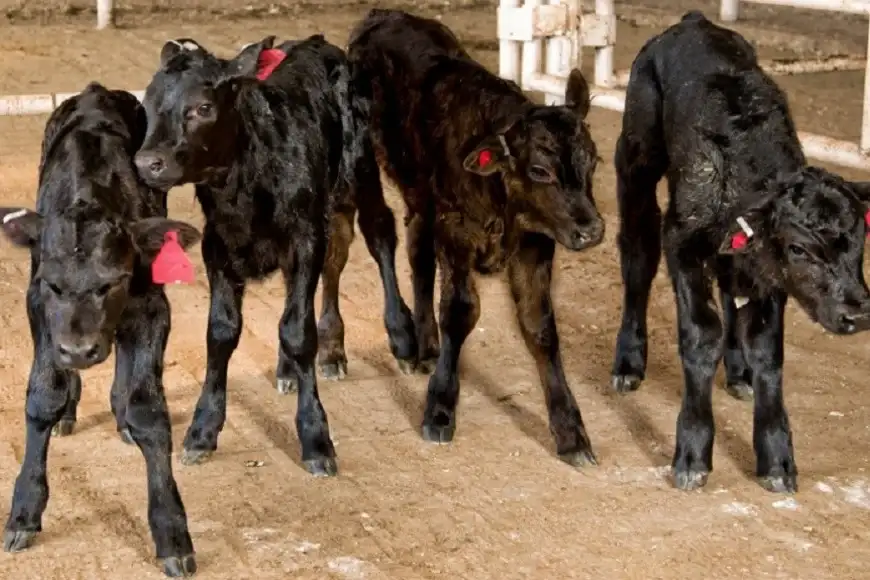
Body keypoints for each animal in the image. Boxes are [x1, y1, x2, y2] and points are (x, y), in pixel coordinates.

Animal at [0, 82, 201, 577]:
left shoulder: (151, 308)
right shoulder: (38, 306)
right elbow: (43, 396)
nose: (80, 349)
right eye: (54, 283)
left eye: (112, 282)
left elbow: (149, 410)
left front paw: (171, 531)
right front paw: (24, 511)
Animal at [132, 33, 416, 474]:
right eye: (146, 105)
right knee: (331, 261)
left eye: (203, 107)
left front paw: (316, 439)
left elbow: (299, 332)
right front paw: (202, 431)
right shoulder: (219, 247)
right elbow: (221, 333)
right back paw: (319, 355)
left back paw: (402, 341)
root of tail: (317, 43)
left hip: (361, 169)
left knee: (379, 236)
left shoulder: (304, 238)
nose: (148, 163)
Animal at [347, 9, 606, 466]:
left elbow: (540, 327)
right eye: (539, 171)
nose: (591, 230)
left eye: (591, 160)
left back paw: (427, 344)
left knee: (417, 252)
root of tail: (383, 15)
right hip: (364, 160)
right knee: (380, 233)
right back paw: (403, 337)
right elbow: (460, 311)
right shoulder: (457, 231)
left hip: (422, 197)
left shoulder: (536, 241)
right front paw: (440, 408)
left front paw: (570, 431)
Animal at [610, 11, 870, 494]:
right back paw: (628, 362)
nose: (857, 314)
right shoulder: (682, 241)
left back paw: (737, 370)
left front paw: (776, 458)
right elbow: (701, 334)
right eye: (799, 249)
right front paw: (693, 452)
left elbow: (766, 349)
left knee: (732, 293)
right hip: (635, 163)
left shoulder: (768, 276)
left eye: (862, 241)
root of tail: (693, 21)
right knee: (637, 260)